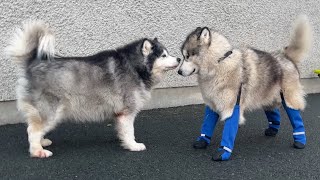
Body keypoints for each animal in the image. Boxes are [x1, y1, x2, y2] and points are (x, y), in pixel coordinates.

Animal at [5, 20, 180, 158]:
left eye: (168, 53)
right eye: (163, 55)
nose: (179, 58)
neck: (134, 66)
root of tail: (32, 62)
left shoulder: (119, 114)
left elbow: (123, 131)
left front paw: (124, 141)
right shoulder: (127, 112)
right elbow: (130, 131)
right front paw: (133, 145)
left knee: (35, 128)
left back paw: (42, 142)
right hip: (50, 111)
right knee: (32, 130)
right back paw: (38, 151)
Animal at [179, 16, 312, 161]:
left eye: (187, 56)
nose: (179, 72)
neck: (219, 62)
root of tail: (284, 55)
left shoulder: (232, 106)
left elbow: (228, 130)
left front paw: (223, 152)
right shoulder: (212, 103)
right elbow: (207, 125)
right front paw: (203, 141)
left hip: (288, 98)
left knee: (295, 116)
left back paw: (300, 140)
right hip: (267, 95)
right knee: (273, 111)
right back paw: (273, 129)